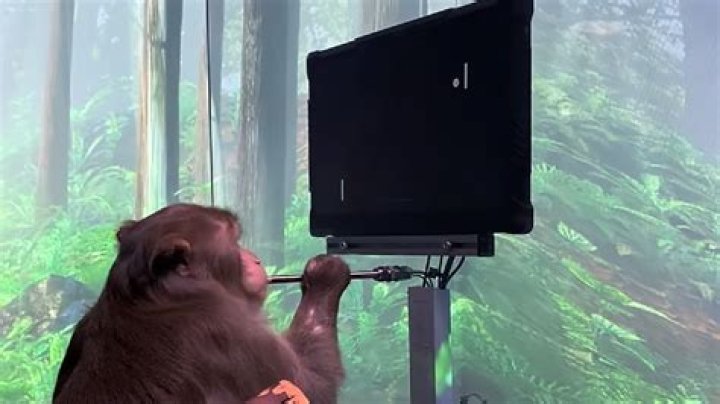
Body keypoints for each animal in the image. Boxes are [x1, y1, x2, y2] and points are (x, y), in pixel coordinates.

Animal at [52, 203, 351, 404]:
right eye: (235, 241)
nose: (255, 259)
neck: (155, 297)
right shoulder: (232, 329)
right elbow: (313, 386)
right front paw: (325, 276)